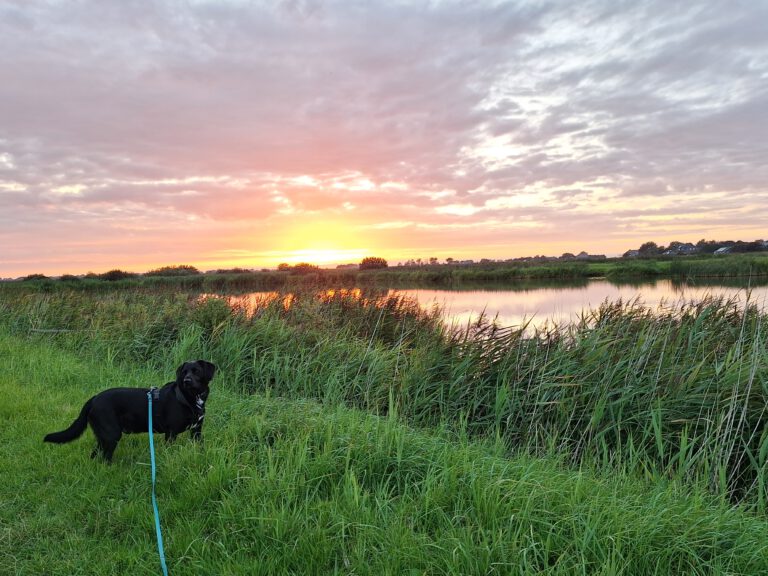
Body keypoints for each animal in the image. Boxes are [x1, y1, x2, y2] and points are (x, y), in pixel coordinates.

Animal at [44, 360, 216, 464]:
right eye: (185, 372)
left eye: (196, 371)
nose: (187, 381)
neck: (189, 398)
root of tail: (94, 398)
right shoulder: (171, 433)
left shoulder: (196, 431)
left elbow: (199, 446)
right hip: (111, 434)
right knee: (105, 457)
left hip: (103, 436)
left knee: (95, 454)